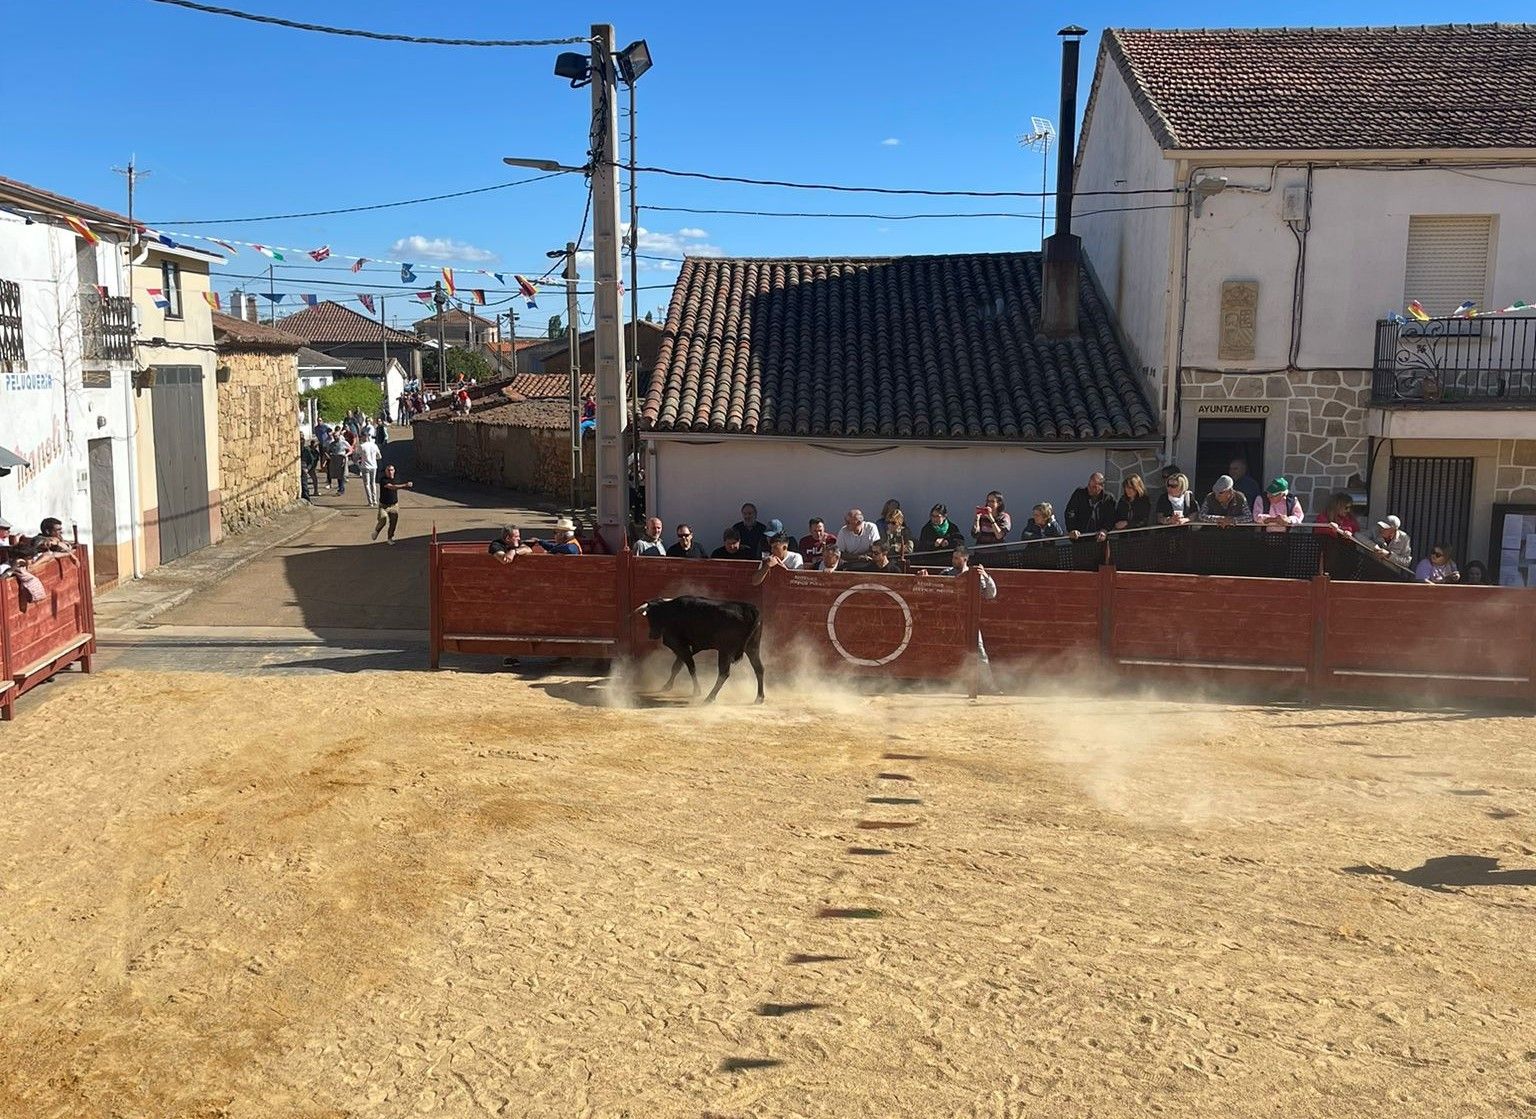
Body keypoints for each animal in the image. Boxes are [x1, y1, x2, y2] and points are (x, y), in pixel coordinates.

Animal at [632, 592, 764, 699]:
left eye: (652, 616)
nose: (652, 635)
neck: (671, 611)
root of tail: (749, 609)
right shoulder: (691, 647)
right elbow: (677, 666)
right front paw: (667, 686)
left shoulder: (680, 645)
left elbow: (690, 667)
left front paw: (697, 691)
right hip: (753, 647)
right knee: (759, 668)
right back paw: (759, 698)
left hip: (725, 651)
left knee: (724, 673)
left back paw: (709, 698)